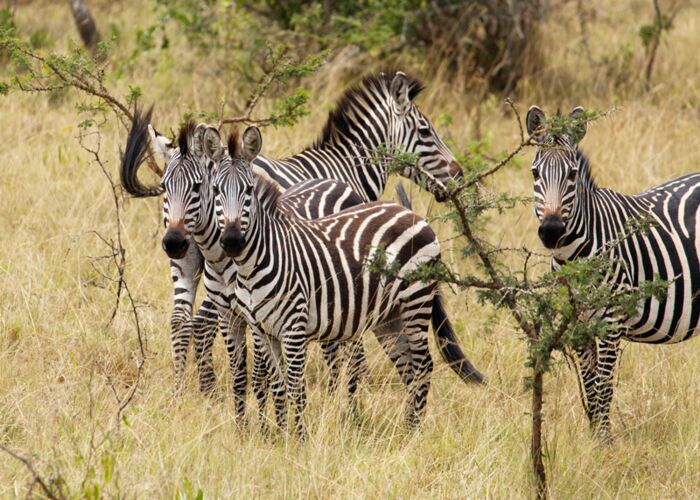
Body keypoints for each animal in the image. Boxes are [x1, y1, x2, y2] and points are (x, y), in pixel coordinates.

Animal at [120, 108, 366, 416]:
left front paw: (266, 417)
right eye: (164, 186)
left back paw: (350, 408)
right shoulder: (233, 311)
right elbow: (245, 371)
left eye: (197, 187)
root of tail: (337, 182)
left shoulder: (255, 313)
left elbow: (261, 373)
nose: (174, 242)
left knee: (353, 351)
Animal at [205, 125, 483, 437]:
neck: (253, 266)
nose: (231, 241)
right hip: (390, 316)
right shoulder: (263, 330)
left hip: (416, 301)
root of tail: (411, 213)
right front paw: (280, 436)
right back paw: (404, 430)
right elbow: (277, 386)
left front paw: (299, 438)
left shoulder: (294, 328)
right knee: (409, 368)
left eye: (249, 191)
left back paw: (413, 433)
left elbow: (295, 387)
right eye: (215, 190)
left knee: (423, 366)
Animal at [526, 105, 700, 441]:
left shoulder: (611, 320)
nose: (551, 231)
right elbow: (590, 384)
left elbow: (604, 385)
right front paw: (594, 437)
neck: (573, 257)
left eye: (572, 175)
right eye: (535, 174)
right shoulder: (577, 324)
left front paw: (605, 442)